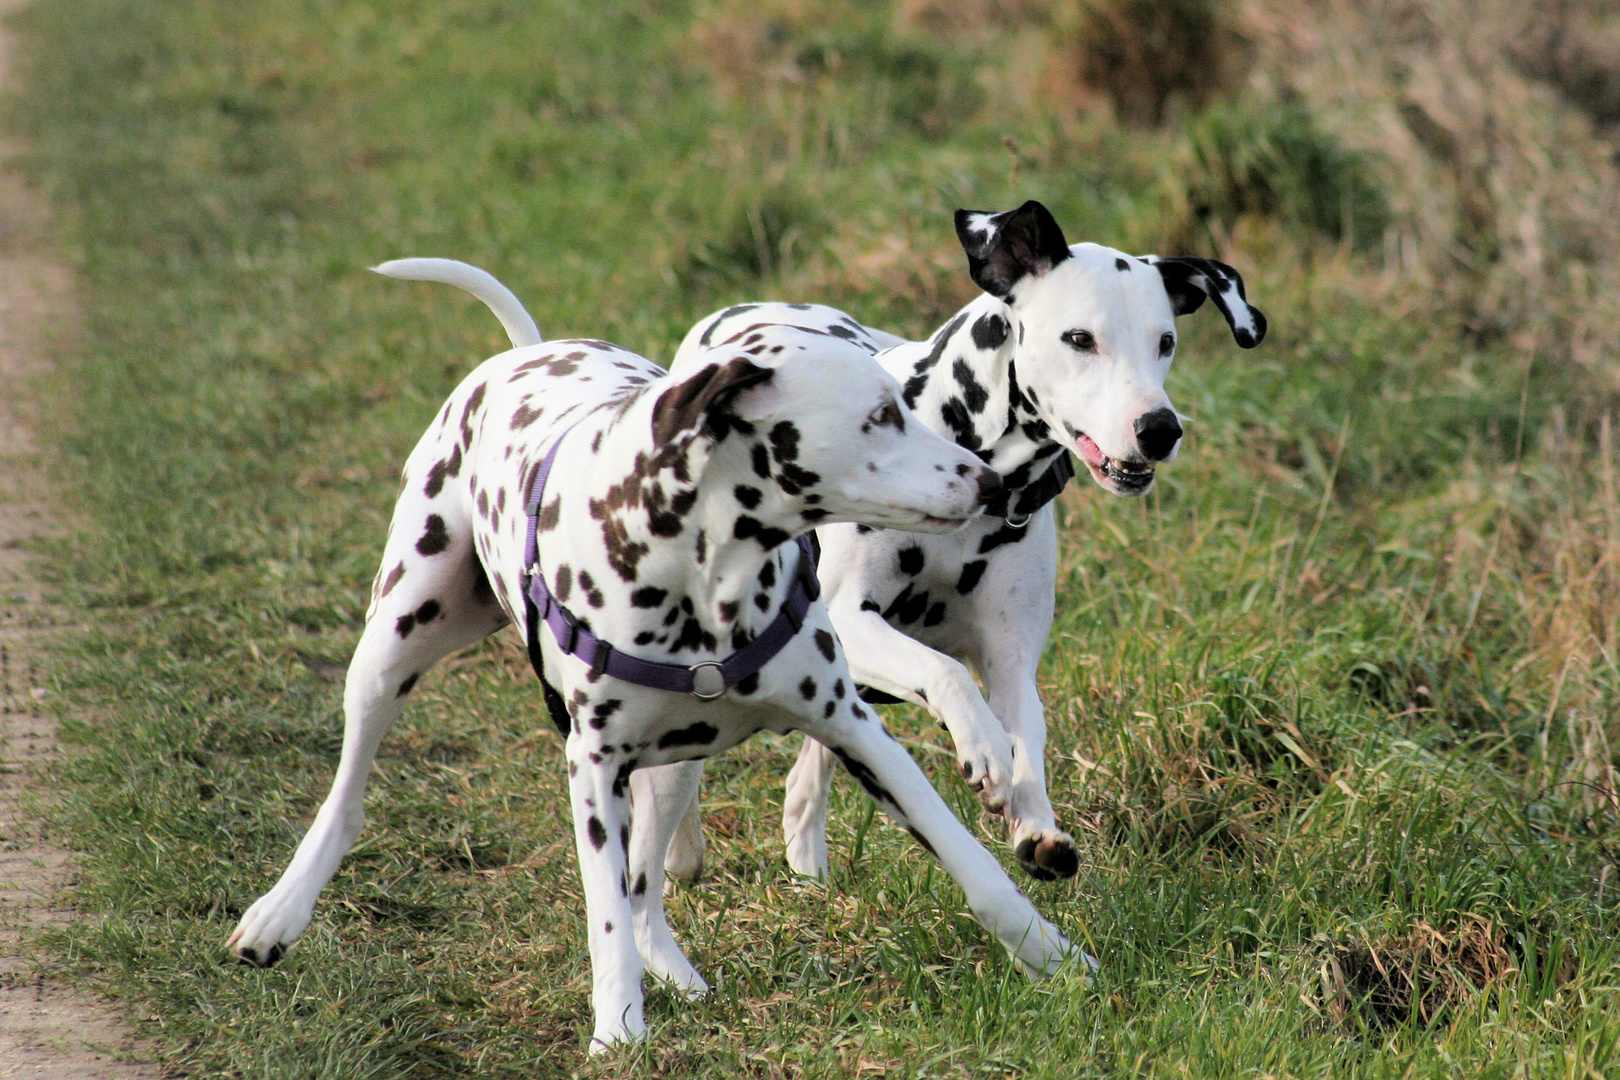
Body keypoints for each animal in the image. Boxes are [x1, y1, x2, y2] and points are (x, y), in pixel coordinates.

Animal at [225, 255, 1075, 1049]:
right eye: (879, 414)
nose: (987, 481)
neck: (705, 578)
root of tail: (521, 354)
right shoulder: (593, 770)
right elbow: (603, 913)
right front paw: (618, 1029)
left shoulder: (856, 732)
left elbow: (971, 859)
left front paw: (1056, 957)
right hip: (394, 647)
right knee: (349, 796)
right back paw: (279, 913)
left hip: (673, 766)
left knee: (645, 890)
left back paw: (675, 971)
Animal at [657, 202, 1263, 887]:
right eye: (1080, 339)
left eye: (1165, 343)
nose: (1158, 429)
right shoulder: (849, 617)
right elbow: (946, 672)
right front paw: (984, 748)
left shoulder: (1010, 654)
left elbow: (1029, 730)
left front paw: (1036, 822)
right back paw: (681, 850)